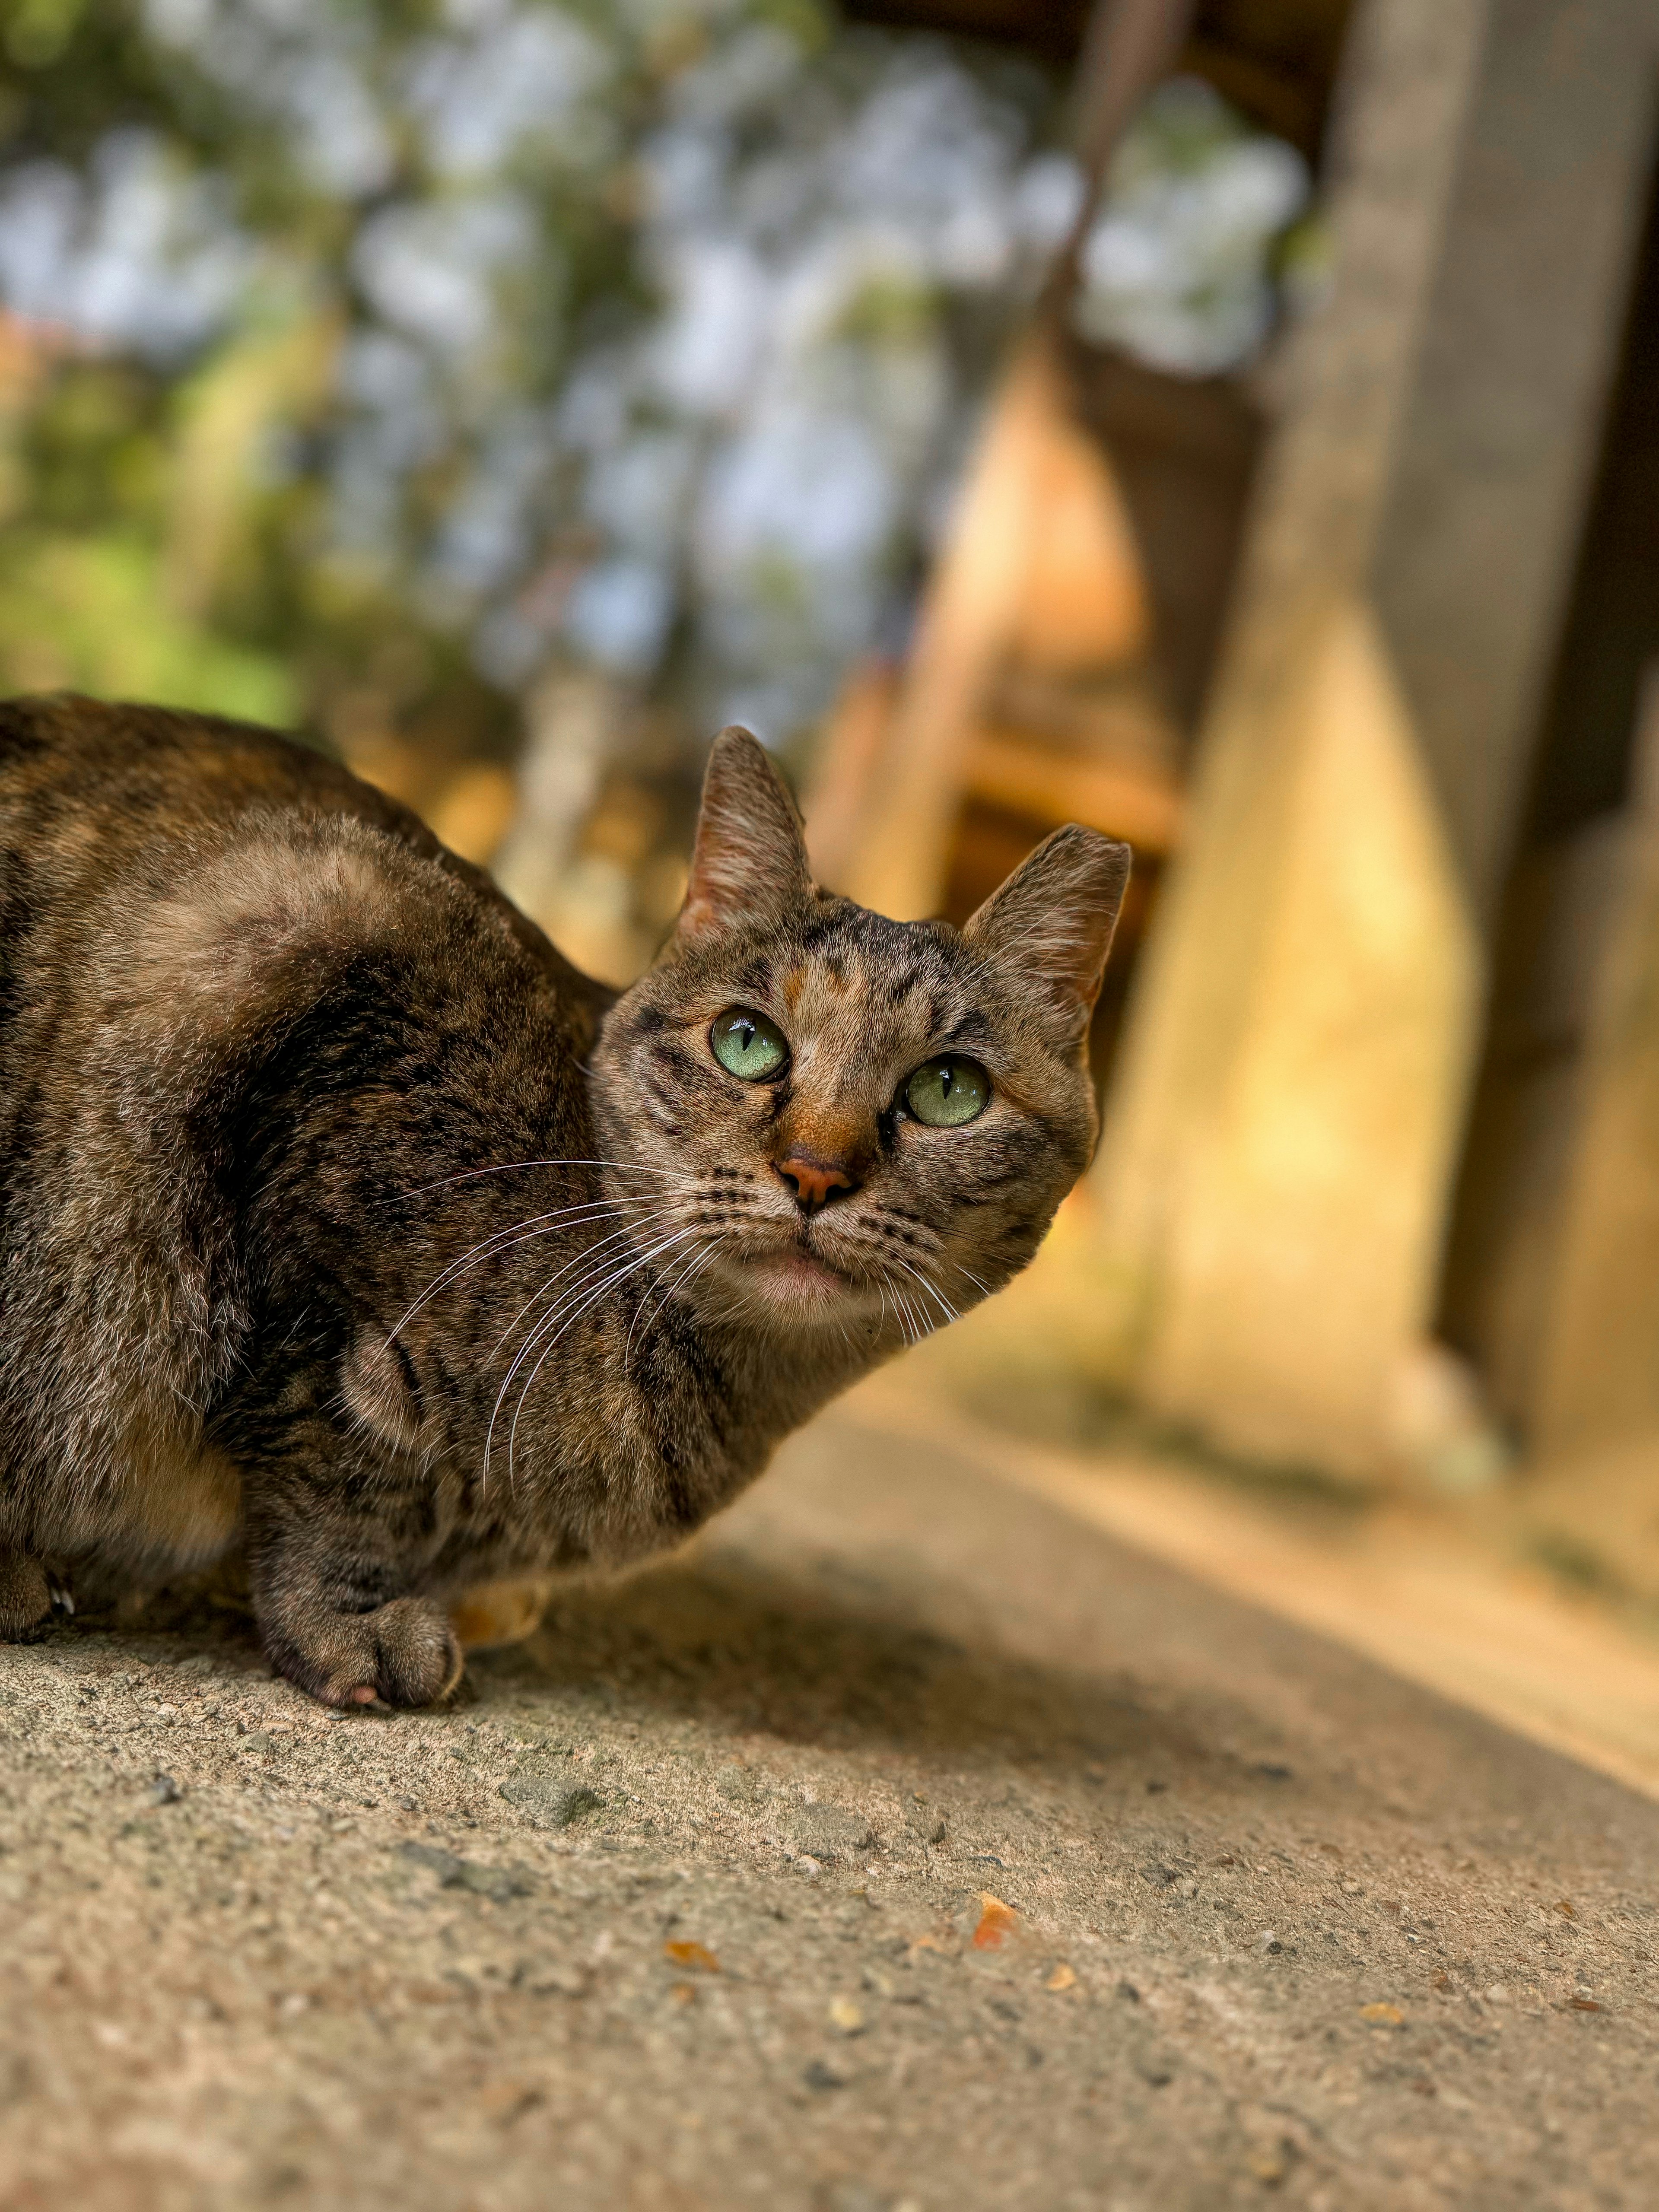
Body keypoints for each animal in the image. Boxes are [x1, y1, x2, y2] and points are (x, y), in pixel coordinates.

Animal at [0, 699, 1132, 1699]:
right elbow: (333, 1458)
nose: (816, 1169)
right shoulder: (307, 970)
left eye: (948, 1091)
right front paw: (349, 1618)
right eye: (747, 1041)